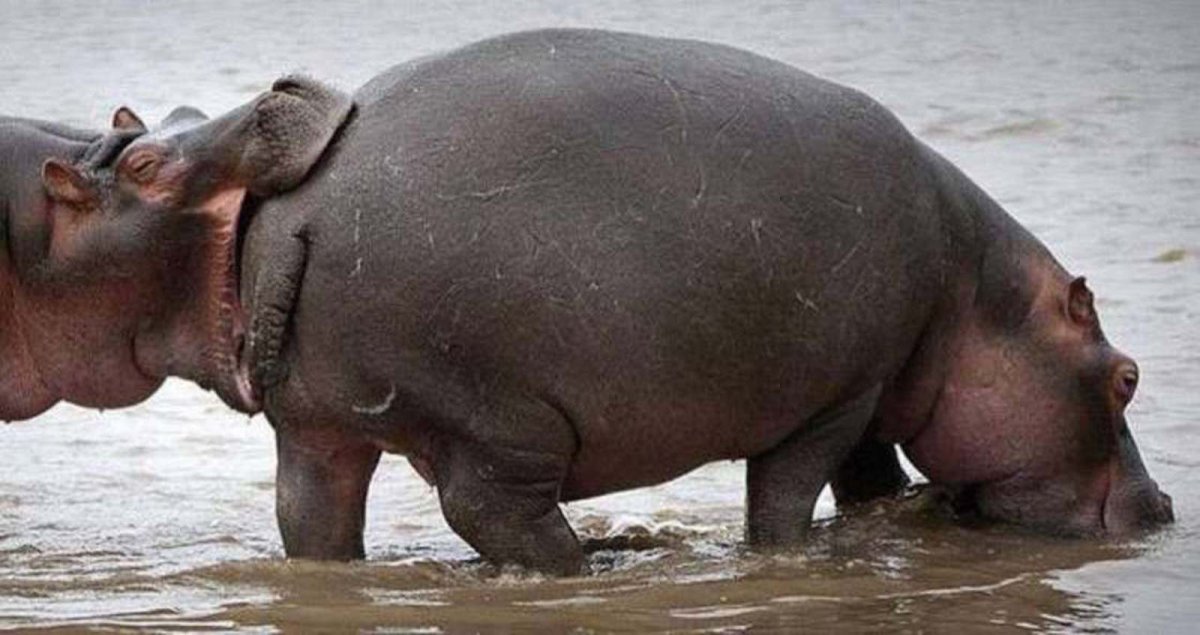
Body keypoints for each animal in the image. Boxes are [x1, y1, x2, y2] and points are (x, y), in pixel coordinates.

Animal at [30, 29, 1172, 574]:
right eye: (1127, 375)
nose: (1164, 507)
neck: (973, 293)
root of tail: (305, 201)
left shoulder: (873, 393)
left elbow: (870, 479)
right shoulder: (839, 393)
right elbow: (788, 497)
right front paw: (798, 552)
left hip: (320, 428)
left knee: (312, 519)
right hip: (499, 415)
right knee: (489, 508)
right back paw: (589, 562)